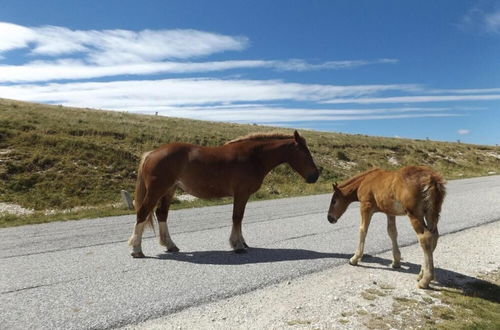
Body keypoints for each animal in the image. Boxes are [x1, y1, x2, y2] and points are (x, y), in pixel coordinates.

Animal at [127, 131, 318, 258]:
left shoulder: (242, 195)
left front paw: (242, 242)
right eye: (304, 153)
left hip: (169, 190)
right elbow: (237, 217)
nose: (315, 176)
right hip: (157, 190)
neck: (254, 157)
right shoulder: (241, 193)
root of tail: (151, 153)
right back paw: (137, 250)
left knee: (161, 214)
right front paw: (238, 245)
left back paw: (170, 245)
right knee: (142, 213)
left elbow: (239, 218)